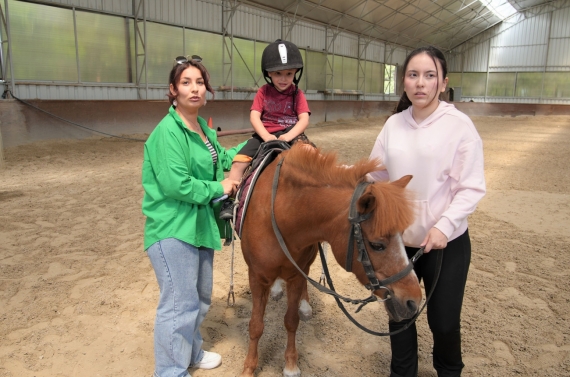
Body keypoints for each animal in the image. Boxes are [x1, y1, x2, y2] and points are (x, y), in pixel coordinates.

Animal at [237, 143, 420, 376]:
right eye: (377, 245)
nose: (414, 300)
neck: (280, 212)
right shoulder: (257, 277)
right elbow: (256, 325)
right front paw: (249, 367)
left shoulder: (296, 275)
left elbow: (291, 320)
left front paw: (290, 365)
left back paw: (304, 305)